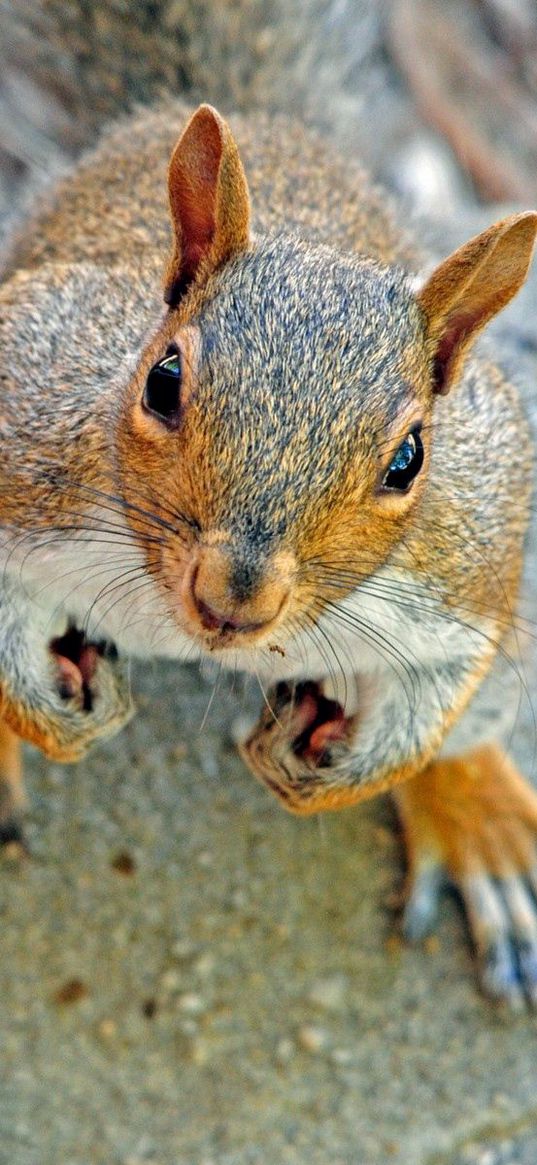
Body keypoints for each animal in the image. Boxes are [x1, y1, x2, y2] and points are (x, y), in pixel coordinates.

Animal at [1, 100, 535, 1011]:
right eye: (162, 379)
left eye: (408, 459)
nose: (231, 601)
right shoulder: (31, 415)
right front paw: (49, 713)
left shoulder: (469, 553)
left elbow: (442, 682)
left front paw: (343, 772)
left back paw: (481, 819)